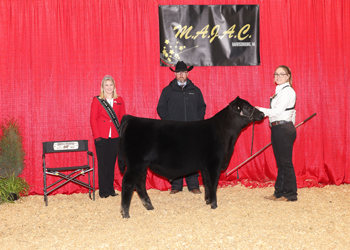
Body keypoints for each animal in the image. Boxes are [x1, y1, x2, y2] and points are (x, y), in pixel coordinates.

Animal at [117, 96, 262, 218]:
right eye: (247, 107)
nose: (262, 114)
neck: (226, 134)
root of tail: (131, 119)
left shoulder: (205, 167)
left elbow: (207, 183)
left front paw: (208, 201)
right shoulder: (214, 164)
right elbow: (213, 184)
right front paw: (214, 205)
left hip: (142, 165)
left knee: (140, 184)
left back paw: (149, 207)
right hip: (135, 164)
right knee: (128, 183)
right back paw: (125, 213)